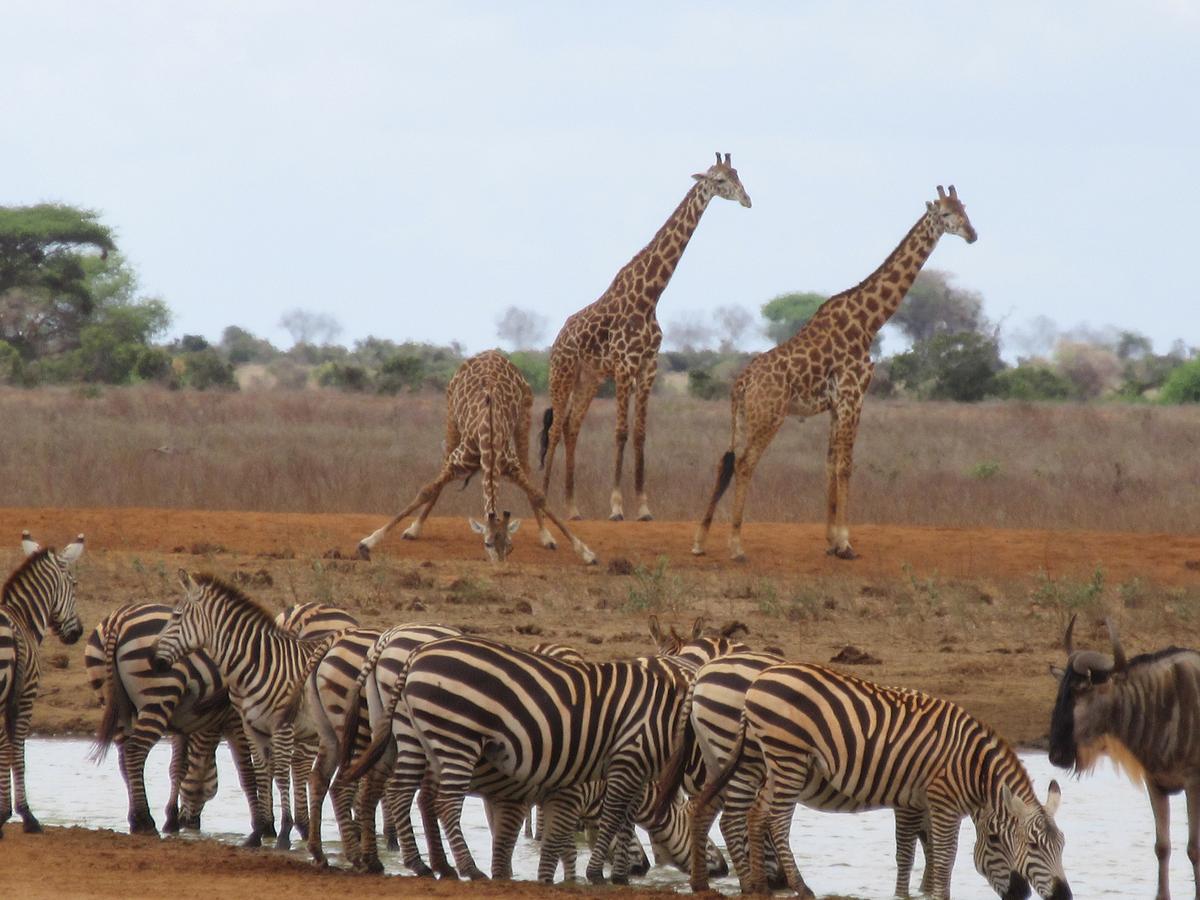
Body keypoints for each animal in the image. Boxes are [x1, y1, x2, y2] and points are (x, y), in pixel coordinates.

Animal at [0, 533, 84, 837]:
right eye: (73, 584)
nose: (78, 633)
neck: (22, 619)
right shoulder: (26, 695)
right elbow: (16, 751)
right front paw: (24, 815)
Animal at [85, 602, 269, 841]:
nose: (190, 823)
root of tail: (119, 619)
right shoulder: (236, 720)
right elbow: (247, 773)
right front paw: (259, 826)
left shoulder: (183, 724)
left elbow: (178, 768)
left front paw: (171, 820)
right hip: (160, 693)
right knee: (135, 752)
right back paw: (144, 821)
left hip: (112, 701)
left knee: (124, 758)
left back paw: (135, 818)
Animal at [151, 570, 336, 851]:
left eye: (177, 616)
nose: (153, 660)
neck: (258, 664)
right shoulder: (252, 726)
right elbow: (261, 772)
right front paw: (258, 833)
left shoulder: (281, 726)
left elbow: (280, 774)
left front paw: (283, 834)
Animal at [692, 662, 1071, 900]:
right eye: (1032, 846)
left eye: (1062, 846)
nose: (1064, 896)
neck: (972, 767)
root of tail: (759, 680)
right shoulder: (941, 802)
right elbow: (944, 855)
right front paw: (938, 895)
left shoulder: (912, 801)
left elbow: (908, 853)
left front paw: (904, 895)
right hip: (786, 758)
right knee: (773, 821)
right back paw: (800, 888)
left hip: (765, 758)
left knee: (749, 814)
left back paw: (756, 886)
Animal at [1050, 615, 1200, 900]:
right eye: (1060, 691)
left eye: (1079, 689)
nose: (1056, 755)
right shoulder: (1155, 784)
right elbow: (1162, 846)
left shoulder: (1193, 785)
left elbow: (1193, 849)